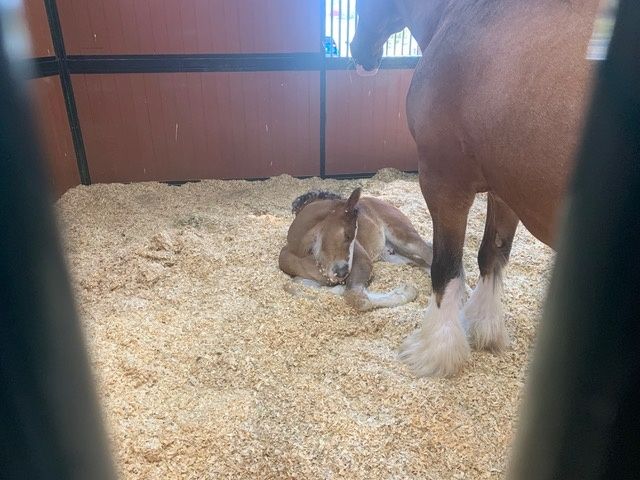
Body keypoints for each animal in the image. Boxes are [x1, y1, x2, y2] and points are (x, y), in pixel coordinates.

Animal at [279, 187, 433, 311]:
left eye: (351, 235)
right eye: (347, 235)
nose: (342, 273)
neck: (300, 253)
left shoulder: (362, 262)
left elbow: (358, 298)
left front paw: (407, 291)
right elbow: (291, 286)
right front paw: (338, 289)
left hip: (404, 237)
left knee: (427, 252)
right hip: (392, 255)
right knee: (418, 261)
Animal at [350, 0, 599, 376]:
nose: (357, 54)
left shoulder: (444, 182)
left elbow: (446, 268)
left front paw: (435, 351)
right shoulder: (503, 192)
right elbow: (491, 255)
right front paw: (484, 328)